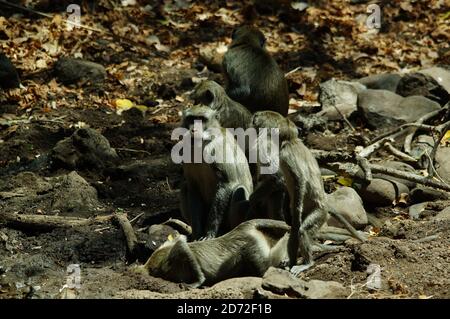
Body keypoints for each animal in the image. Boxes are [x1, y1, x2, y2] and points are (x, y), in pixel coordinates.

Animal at [177, 105, 253, 240]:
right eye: (191, 119)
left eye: (202, 119)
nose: (194, 130)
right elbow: (192, 187)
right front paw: (197, 232)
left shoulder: (218, 148)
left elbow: (226, 183)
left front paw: (210, 232)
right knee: (185, 186)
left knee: (239, 190)